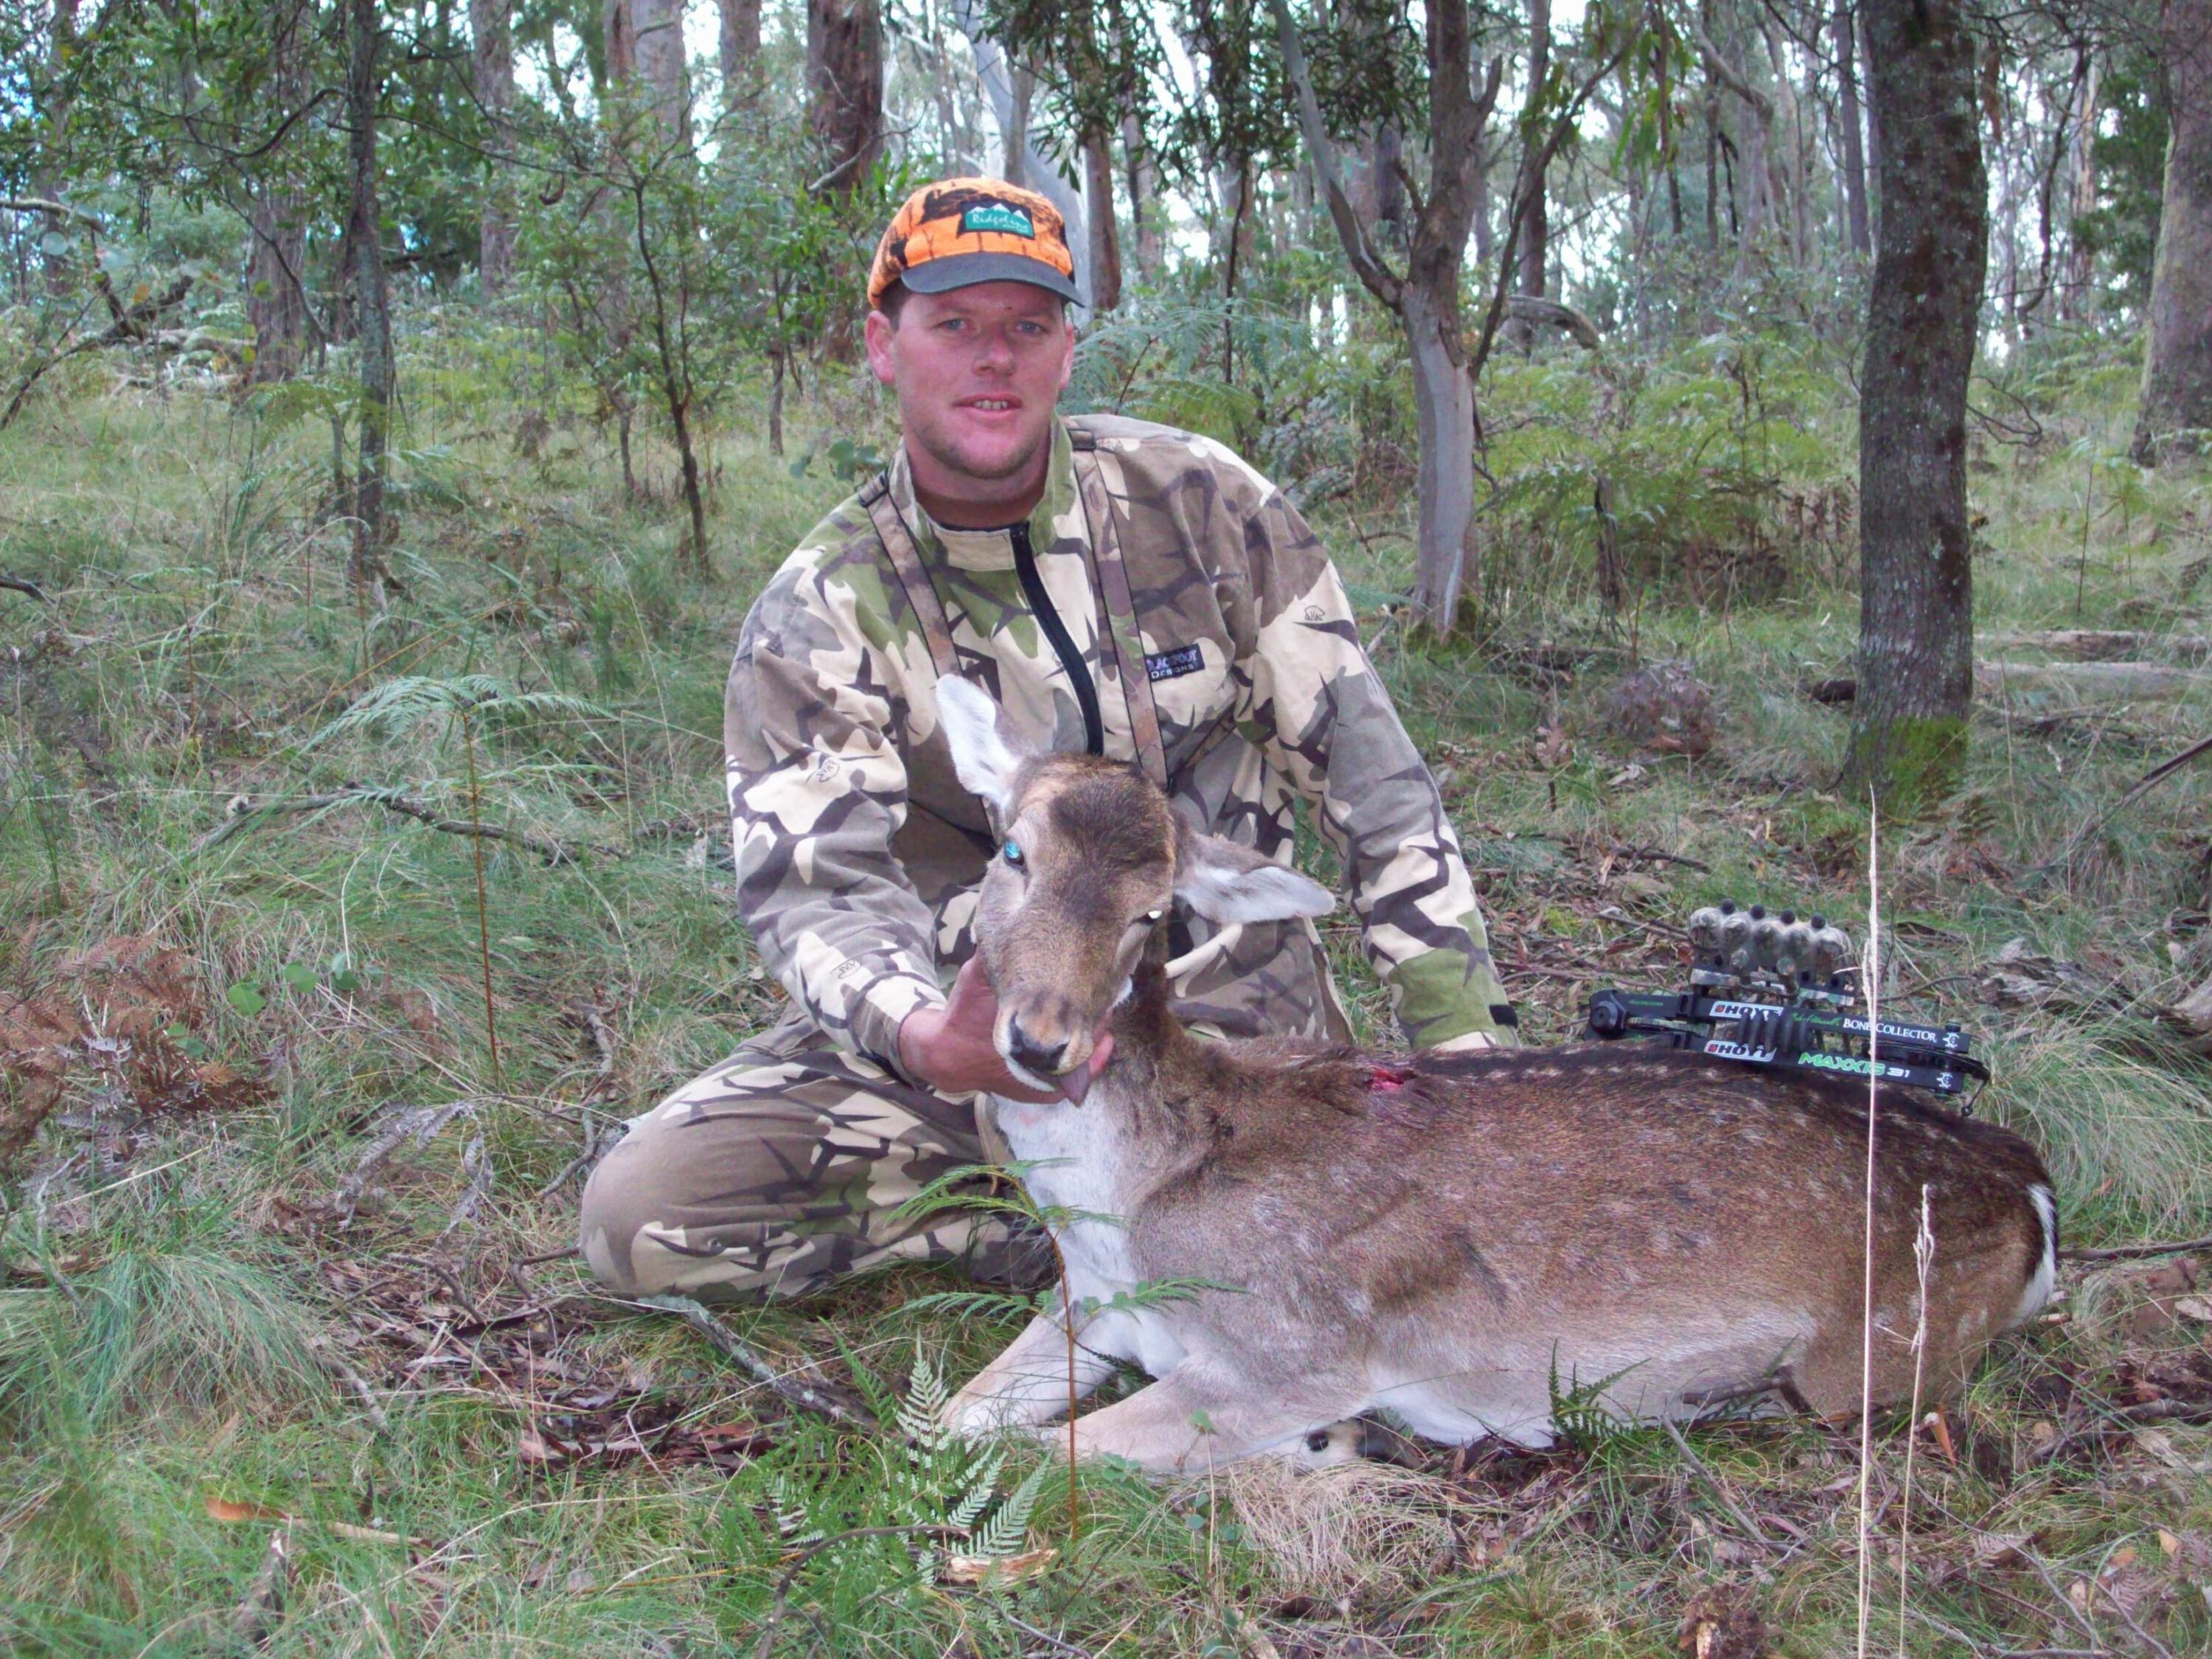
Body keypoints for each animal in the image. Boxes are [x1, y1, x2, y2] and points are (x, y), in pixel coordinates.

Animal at [929, 677, 2053, 1478]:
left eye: (1153, 912)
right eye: (1013, 851)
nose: (1042, 1040)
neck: (1126, 1211)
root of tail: (2034, 1190)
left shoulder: (1295, 1350)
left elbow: (1027, 1455)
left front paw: (1328, 1445)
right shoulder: (1089, 1302)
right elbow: (952, 1417)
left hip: (1871, 1359)